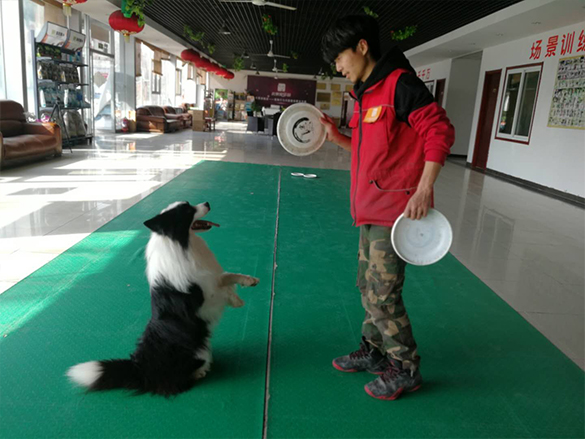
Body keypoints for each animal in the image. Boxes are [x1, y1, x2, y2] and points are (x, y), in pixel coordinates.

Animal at [66, 201, 258, 398]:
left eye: (188, 203)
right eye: (188, 210)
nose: (207, 203)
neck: (182, 244)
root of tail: (140, 368)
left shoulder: (210, 276)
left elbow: (226, 276)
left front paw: (247, 283)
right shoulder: (203, 298)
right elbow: (220, 289)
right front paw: (235, 298)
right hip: (198, 352)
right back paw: (199, 372)